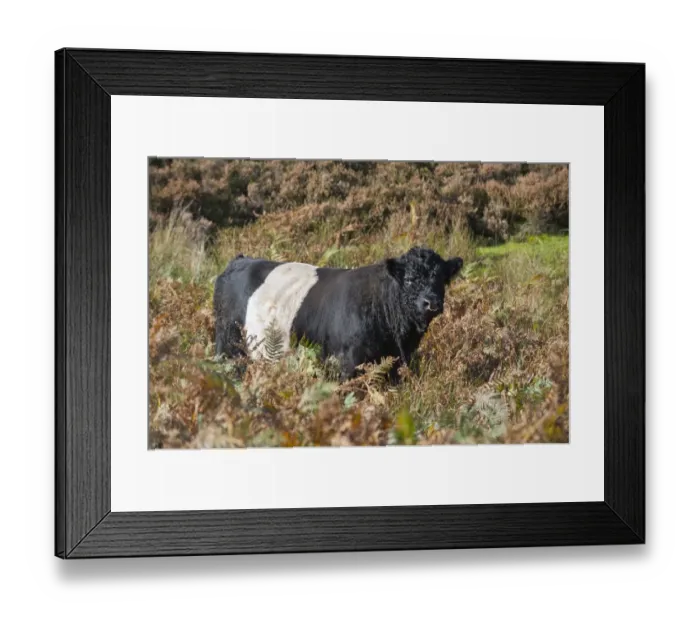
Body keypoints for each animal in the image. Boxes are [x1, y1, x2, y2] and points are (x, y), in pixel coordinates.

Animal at [213, 247, 463, 379]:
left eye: (442, 280)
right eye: (410, 279)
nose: (431, 303)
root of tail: (240, 260)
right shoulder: (348, 364)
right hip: (229, 345)